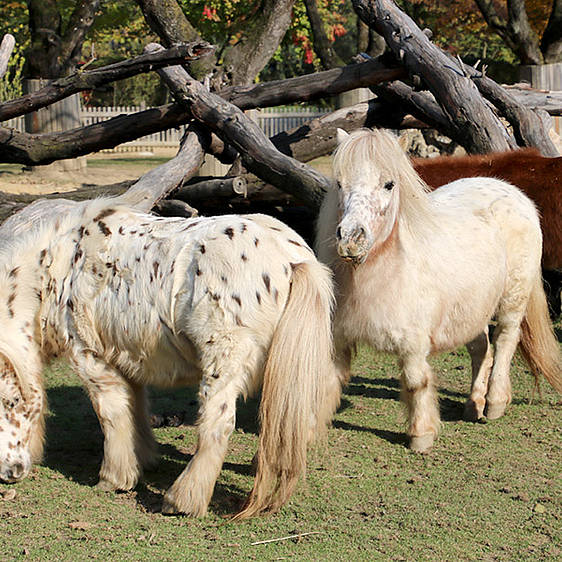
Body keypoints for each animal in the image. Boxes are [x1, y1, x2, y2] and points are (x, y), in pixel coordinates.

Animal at [0, 198, 336, 516]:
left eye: (11, 402)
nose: (10, 473)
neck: (55, 268)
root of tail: (292, 259)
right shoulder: (127, 358)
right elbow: (135, 409)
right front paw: (144, 459)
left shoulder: (89, 357)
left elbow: (111, 413)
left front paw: (114, 478)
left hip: (222, 363)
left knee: (218, 425)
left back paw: (182, 500)